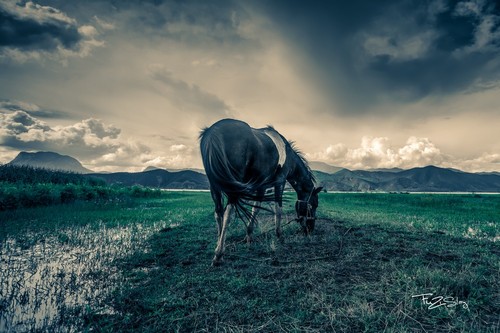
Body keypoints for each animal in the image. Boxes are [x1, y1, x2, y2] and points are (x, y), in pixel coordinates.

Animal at [200, 118, 324, 264]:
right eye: (313, 205)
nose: (310, 229)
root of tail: (213, 132)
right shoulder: (280, 182)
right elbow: (278, 209)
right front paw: (279, 235)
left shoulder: (262, 186)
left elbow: (256, 208)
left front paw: (249, 235)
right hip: (232, 188)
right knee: (227, 214)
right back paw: (219, 254)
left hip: (215, 185)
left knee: (218, 212)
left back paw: (219, 245)